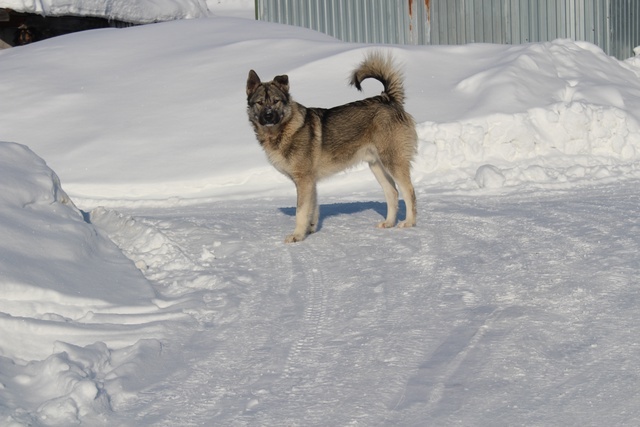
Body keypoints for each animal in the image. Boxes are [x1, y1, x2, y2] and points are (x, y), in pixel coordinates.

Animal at [248, 51, 418, 242]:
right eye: (259, 103)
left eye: (276, 101)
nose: (269, 116)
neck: (285, 129)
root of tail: (388, 98)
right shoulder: (310, 182)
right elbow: (312, 210)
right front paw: (310, 230)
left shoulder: (304, 181)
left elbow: (301, 212)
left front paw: (297, 236)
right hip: (377, 166)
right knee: (393, 193)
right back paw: (388, 223)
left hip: (393, 162)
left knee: (409, 192)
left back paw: (408, 222)